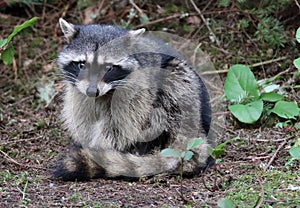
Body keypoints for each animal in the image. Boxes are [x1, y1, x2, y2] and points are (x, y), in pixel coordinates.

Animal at [54, 18, 213, 180]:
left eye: (108, 68)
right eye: (82, 65)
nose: (92, 91)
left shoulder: (137, 91)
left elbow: (123, 127)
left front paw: (103, 148)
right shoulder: (79, 93)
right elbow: (83, 115)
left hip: (183, 91)